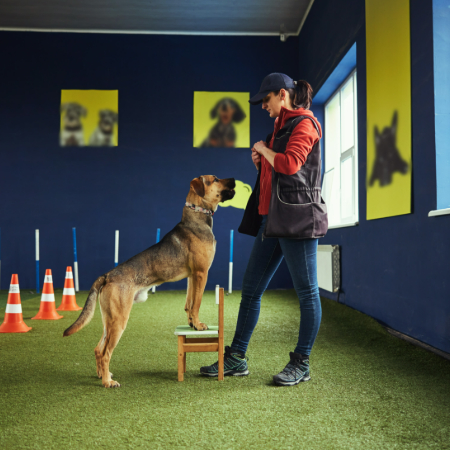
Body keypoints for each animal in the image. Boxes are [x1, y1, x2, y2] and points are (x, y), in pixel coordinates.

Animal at [66, 175, 239, 386]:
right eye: (215, 179)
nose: (234, 179)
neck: (196, 215)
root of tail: (107, 276)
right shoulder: (201, 273)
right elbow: (197, 303)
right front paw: (199, 325)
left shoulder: (192, 277)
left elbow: (189, 304)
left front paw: (191, 323)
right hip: (119, 319)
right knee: (106, 352)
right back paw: (108, 382)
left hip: (109, 319)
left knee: (98, 349)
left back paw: (103, 376)